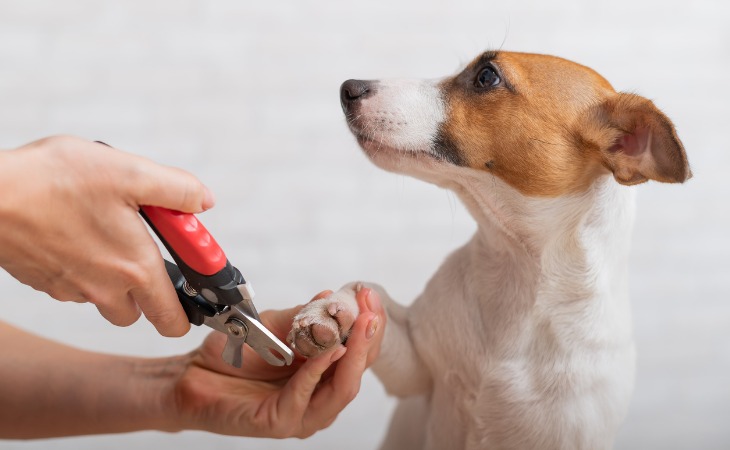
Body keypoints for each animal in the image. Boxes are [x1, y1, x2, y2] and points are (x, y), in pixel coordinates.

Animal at [286, 51, 688, 450]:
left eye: (486, 77)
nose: (348, 88)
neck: (519, 270)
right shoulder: (415, 369)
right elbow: (370, 293)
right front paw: (333, 311)